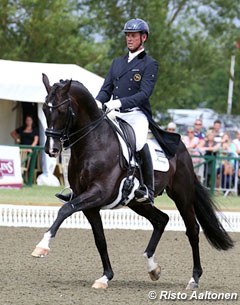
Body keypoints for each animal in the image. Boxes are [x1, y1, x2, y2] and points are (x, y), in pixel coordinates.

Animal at [31, 72, 233, 288]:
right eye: (44, 109)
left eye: (62, 110)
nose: (51, 149)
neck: (93, 143)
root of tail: (183, 149)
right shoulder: (89, 204)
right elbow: (100, 239)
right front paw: (105, 277)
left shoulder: (98, 193)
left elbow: (65, 209)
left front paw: (42, 246)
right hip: (137, 203)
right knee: (161, 220)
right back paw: (153, 268)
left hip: (182, 195)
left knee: (192, 230)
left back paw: (194, 278)